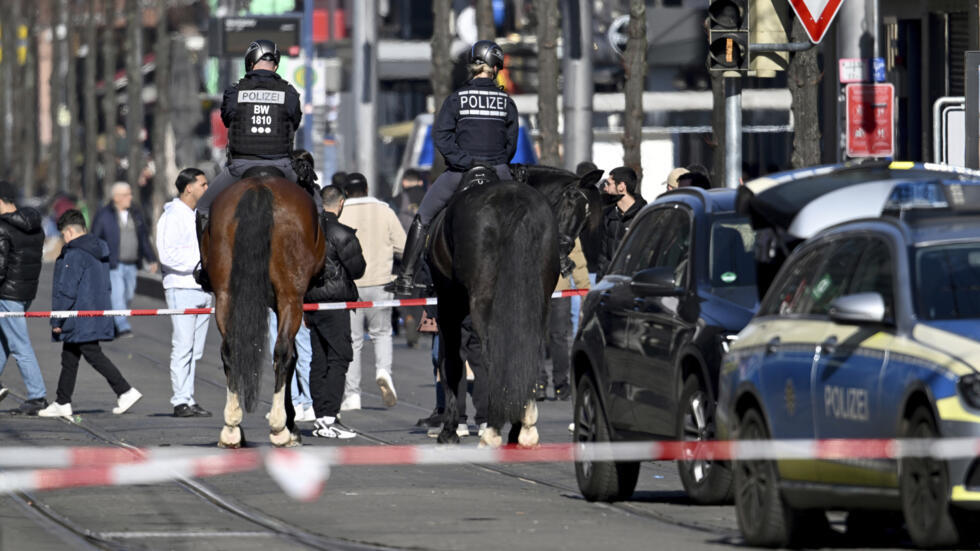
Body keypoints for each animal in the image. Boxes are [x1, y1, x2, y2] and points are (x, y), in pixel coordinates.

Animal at [199, 177, 326, 448]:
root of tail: (259, 186)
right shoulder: (286, 301)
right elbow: (291, 355)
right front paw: (290, 425)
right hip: (290, 297)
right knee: (283, 351)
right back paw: (279, 428)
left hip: (226, 294)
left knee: (231, 349)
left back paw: (232, 429)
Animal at [430, 165, 604, 448]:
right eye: (569, 202)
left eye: (586, 215)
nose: (565, 253)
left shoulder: (449, 301)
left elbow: (452, 362)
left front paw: (449, 430)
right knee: (529, 350)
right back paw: (523, 426)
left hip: (480, 302)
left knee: (491, 353)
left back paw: (493, 430)